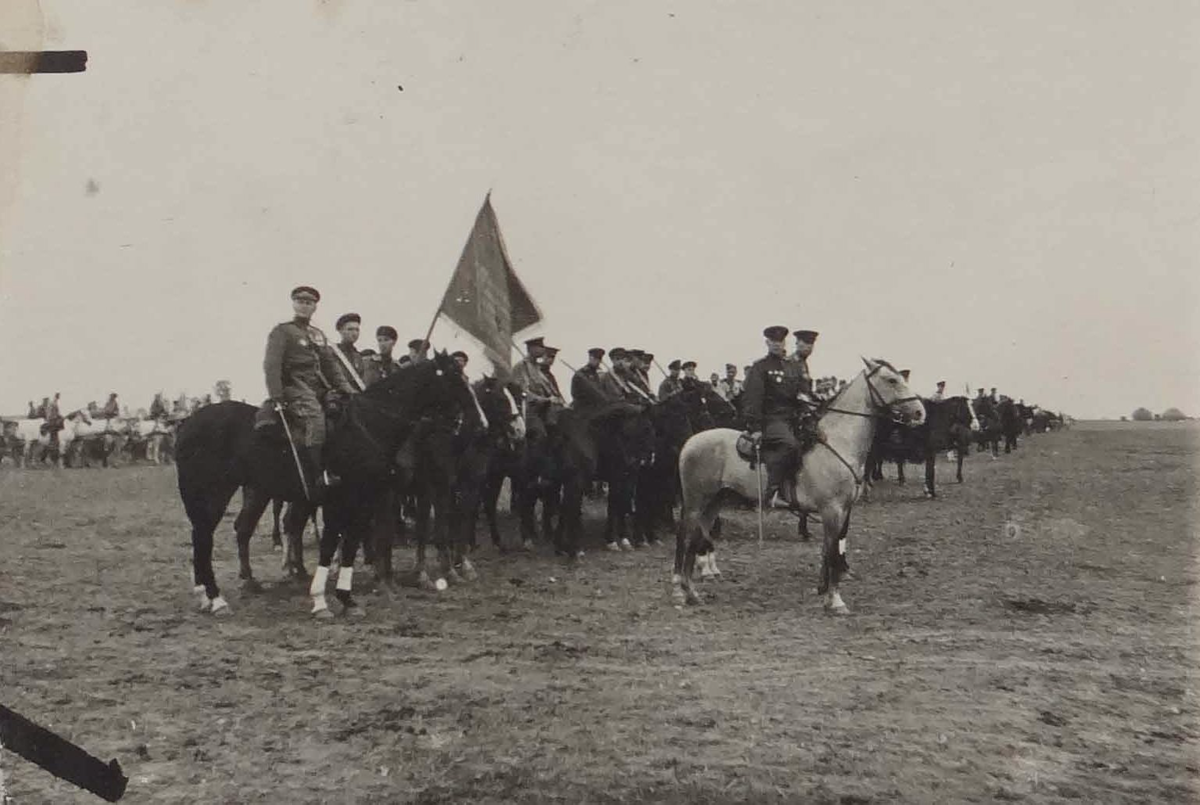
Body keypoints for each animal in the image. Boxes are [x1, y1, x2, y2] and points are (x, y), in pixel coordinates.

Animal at [176, 352, 472, 619]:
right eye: (456, 378)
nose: (466, 422)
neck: (369, 426)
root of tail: (187, 423)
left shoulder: (363, 501)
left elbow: (348, 546)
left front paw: (347, 599)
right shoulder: (346, 500)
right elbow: (332, 545)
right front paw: (321, 601)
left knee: (209, 536)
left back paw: (209, 595)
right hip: (216, 494)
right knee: (206, 538)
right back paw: (217, 599)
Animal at [676, 355, 926, 614]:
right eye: (891, 380)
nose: (920, 412)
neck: (837, 442)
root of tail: (691, 441)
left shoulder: (844, 510)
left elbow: (831, 548)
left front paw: (825, 592)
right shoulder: (831, 510)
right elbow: (833, 553)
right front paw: (836, 601)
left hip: (714, 501)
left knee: (698, 536)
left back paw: (693, 590)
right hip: (696, 502)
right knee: (686, 536)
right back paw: (685, 590)